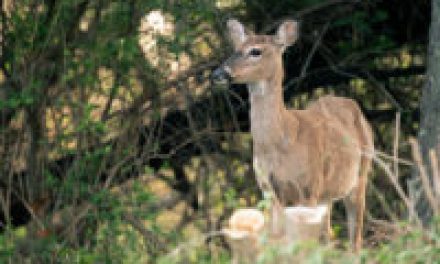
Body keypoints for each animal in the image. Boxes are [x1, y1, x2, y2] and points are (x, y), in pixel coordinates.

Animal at [211, 18, 372, 252]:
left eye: (255, 51)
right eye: (235, 48)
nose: (218, 74)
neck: (279, 144)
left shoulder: (307, 188)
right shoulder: (269, 191)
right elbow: (277, 241)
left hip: (360, 176)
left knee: (354, 238)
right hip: (327, 193)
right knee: (329, 235)